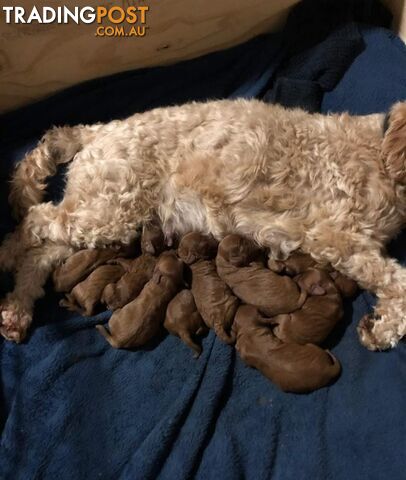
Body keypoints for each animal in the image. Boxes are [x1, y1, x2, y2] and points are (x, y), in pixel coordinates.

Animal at [0, 99, 406, 350]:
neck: (384, 152)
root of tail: (99, 130)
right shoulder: (339, 238)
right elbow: (397, 282)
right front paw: (384, 328)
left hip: (99, 215)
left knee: (42, 253)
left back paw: (17, 310)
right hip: (108, 209)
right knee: (35, 221)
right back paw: (5, 258)